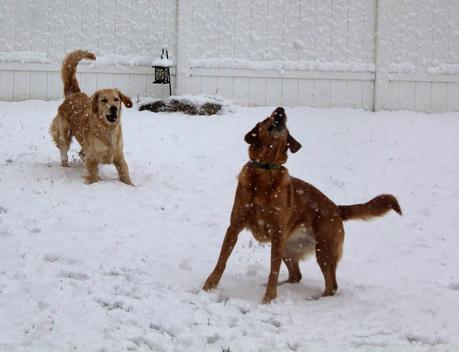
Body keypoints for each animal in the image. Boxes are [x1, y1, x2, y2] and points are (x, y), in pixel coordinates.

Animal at [50, 51, 134, 187]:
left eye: (116, 99)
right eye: (104, 100)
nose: (114, 108)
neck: (107, 129)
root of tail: (75, 94)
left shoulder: (119, 156)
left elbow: (125, 174)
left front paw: (131, 186)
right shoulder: (92, 158)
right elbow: (94, 175)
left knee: (80, 153)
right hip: (64, 134)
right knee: (63, 150)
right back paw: (65, 165)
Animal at [205, 106, 402, 302]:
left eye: (285, 122)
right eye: (267, 118)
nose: (280, 109)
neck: (266, 168)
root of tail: (336, 208)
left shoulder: (277, 232)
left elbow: (273, 271)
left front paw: (269, 298)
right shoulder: (235, 226)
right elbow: (222, 260)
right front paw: (210, 285)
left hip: (322, 250)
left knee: (331, 285)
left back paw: (315, 299)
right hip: (288, 248)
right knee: (296, 275)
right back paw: (285, 287)